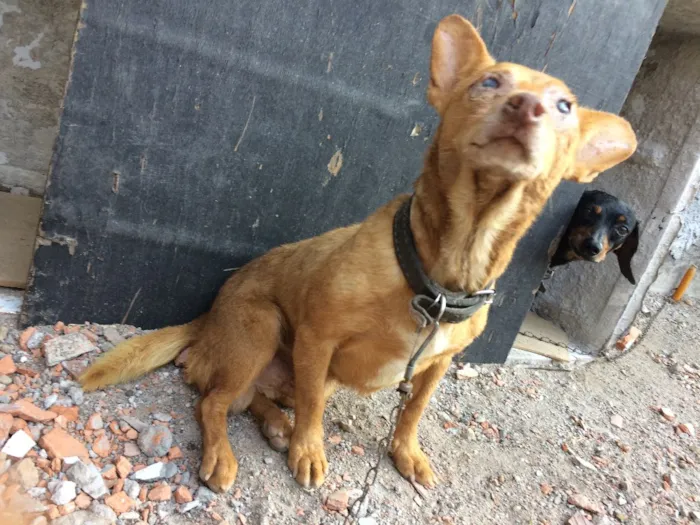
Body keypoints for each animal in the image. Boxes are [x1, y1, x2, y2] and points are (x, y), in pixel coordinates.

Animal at [79, 15, 636, 492]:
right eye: (490, 83)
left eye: (564, 106)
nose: (527, 107)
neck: (444, 273)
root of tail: (206, 320)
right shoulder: (317, 339)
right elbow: (312, 415)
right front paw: (308, 450)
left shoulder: (436, 366)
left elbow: (412, 411)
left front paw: (405, 452)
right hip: (263, 328)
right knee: (214, 402)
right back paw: (224, 453)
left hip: (303, 371)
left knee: (258, 397)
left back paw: (275, 424)